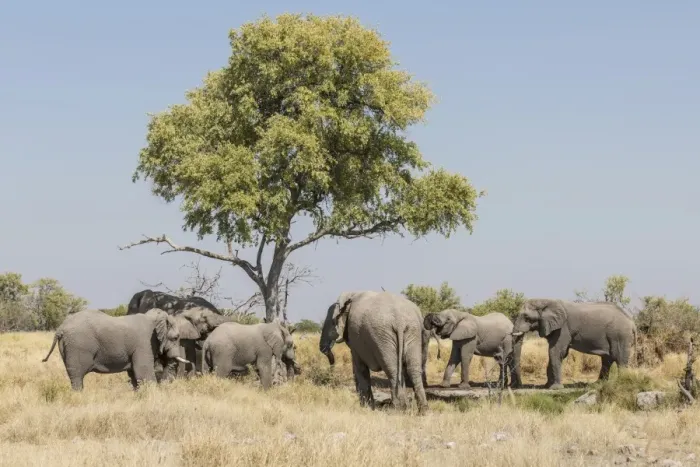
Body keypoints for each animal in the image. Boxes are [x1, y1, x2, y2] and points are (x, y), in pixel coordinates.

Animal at [41, 308, 189, 391]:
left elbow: (134, 375)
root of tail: (60, 328)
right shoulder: (144, 343)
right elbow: (143, 372)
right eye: (176, 337)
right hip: (77, 345)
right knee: (77, 375)